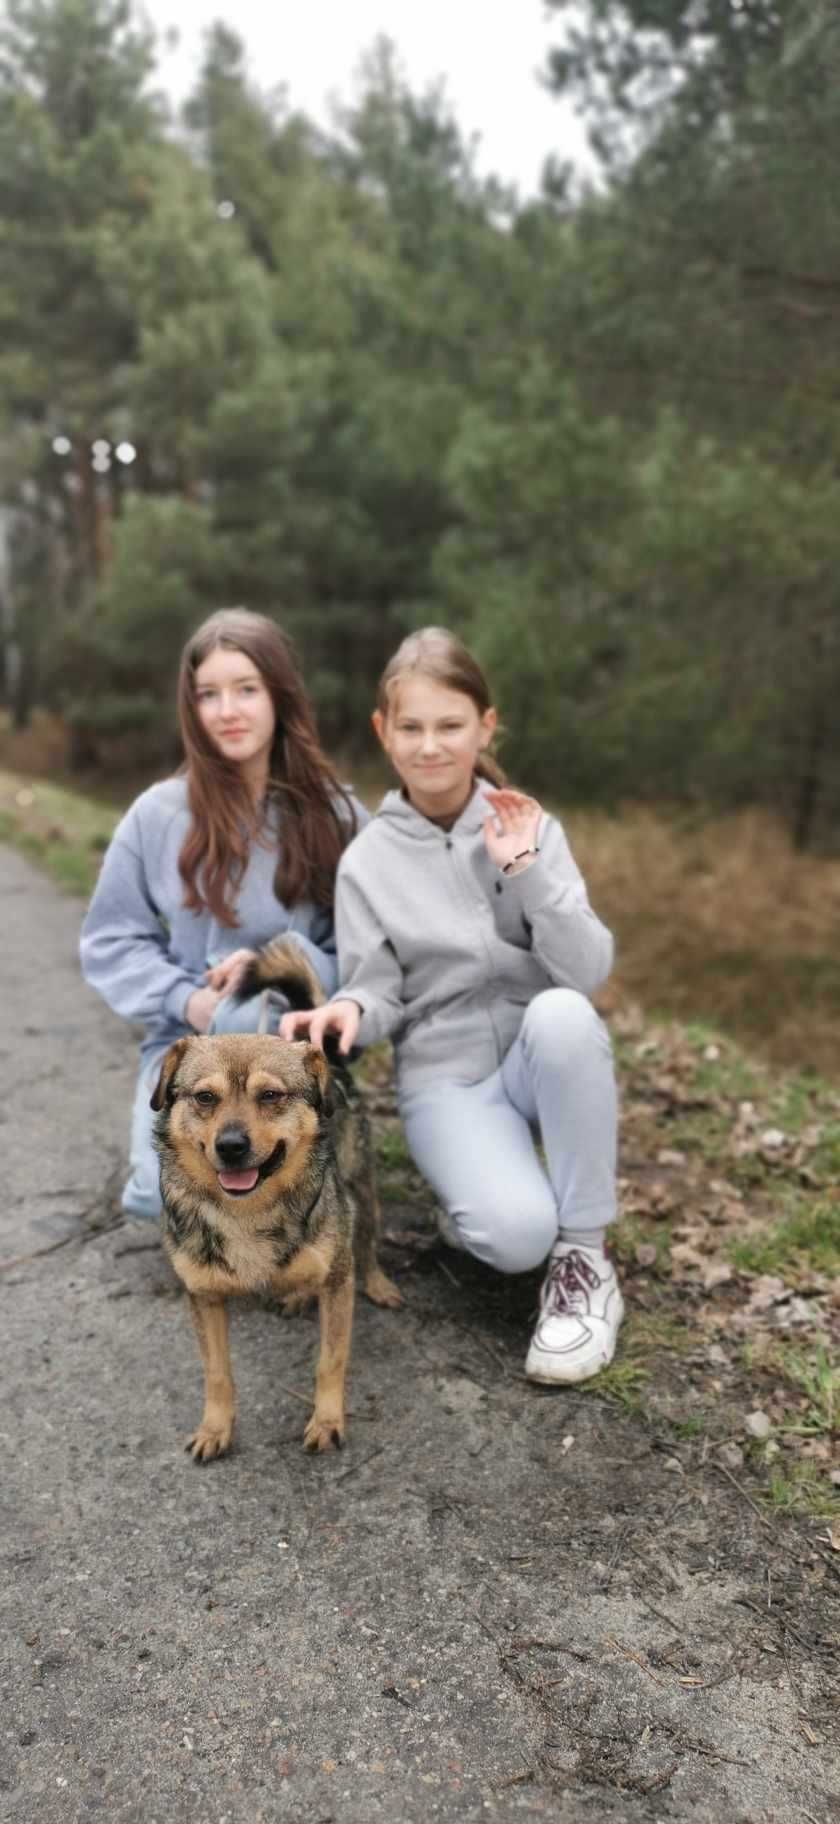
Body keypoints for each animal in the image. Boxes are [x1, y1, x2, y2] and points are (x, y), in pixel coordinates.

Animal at [150, 1036, 399, 1459]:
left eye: (270, 1095)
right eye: (204, 1097)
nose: (231, 1146)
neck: (246, 1210)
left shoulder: (337, 1279)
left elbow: (330, 1360)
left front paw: (327, 1422)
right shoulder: (202, 1295)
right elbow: (216, 1372)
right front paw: (215, 1428)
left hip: (360, 1188)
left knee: (366, 1240)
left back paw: (378, 1283)